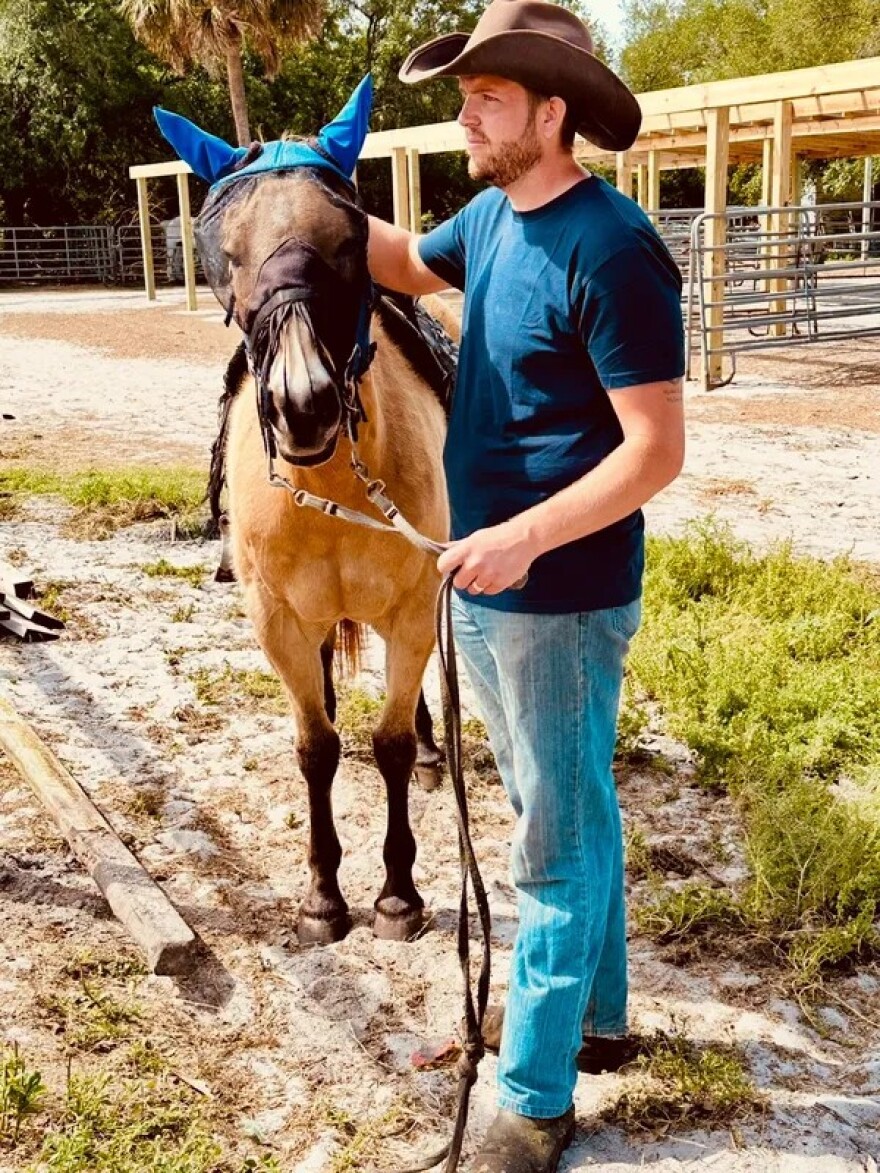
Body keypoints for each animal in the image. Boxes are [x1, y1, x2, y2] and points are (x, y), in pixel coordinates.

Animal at [156, 83, 457, 947]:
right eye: (222, 250)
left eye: (351, 237)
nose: (303, 403)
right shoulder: (279, 620)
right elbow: (315, 745)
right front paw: (324, 893)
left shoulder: (414, 607)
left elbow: (390, 742)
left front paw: (398, 893)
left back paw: (435, 748)